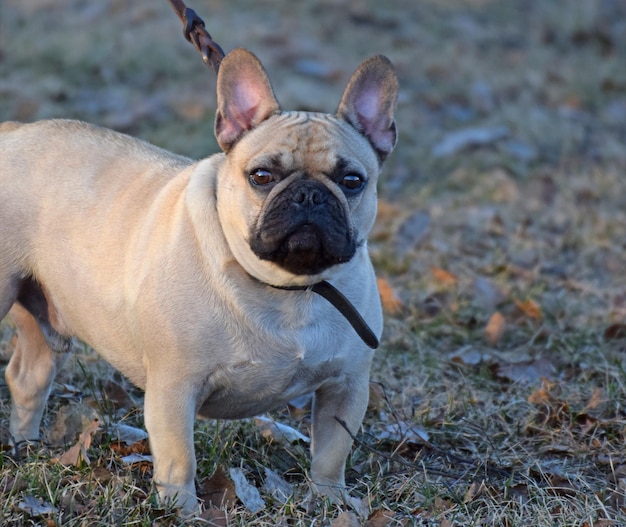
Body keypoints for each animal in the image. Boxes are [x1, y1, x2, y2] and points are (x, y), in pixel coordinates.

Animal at [0, 47, 398, 512]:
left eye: (352, 181)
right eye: (261, 176)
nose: (309, 195)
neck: (289, 289)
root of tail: (13, 132)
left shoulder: (346, 386)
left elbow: (332, 452)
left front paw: (330, 501)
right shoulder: (174, 388)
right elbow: (179, 457)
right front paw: (183, 509)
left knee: (29, 377)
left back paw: (25, 447)